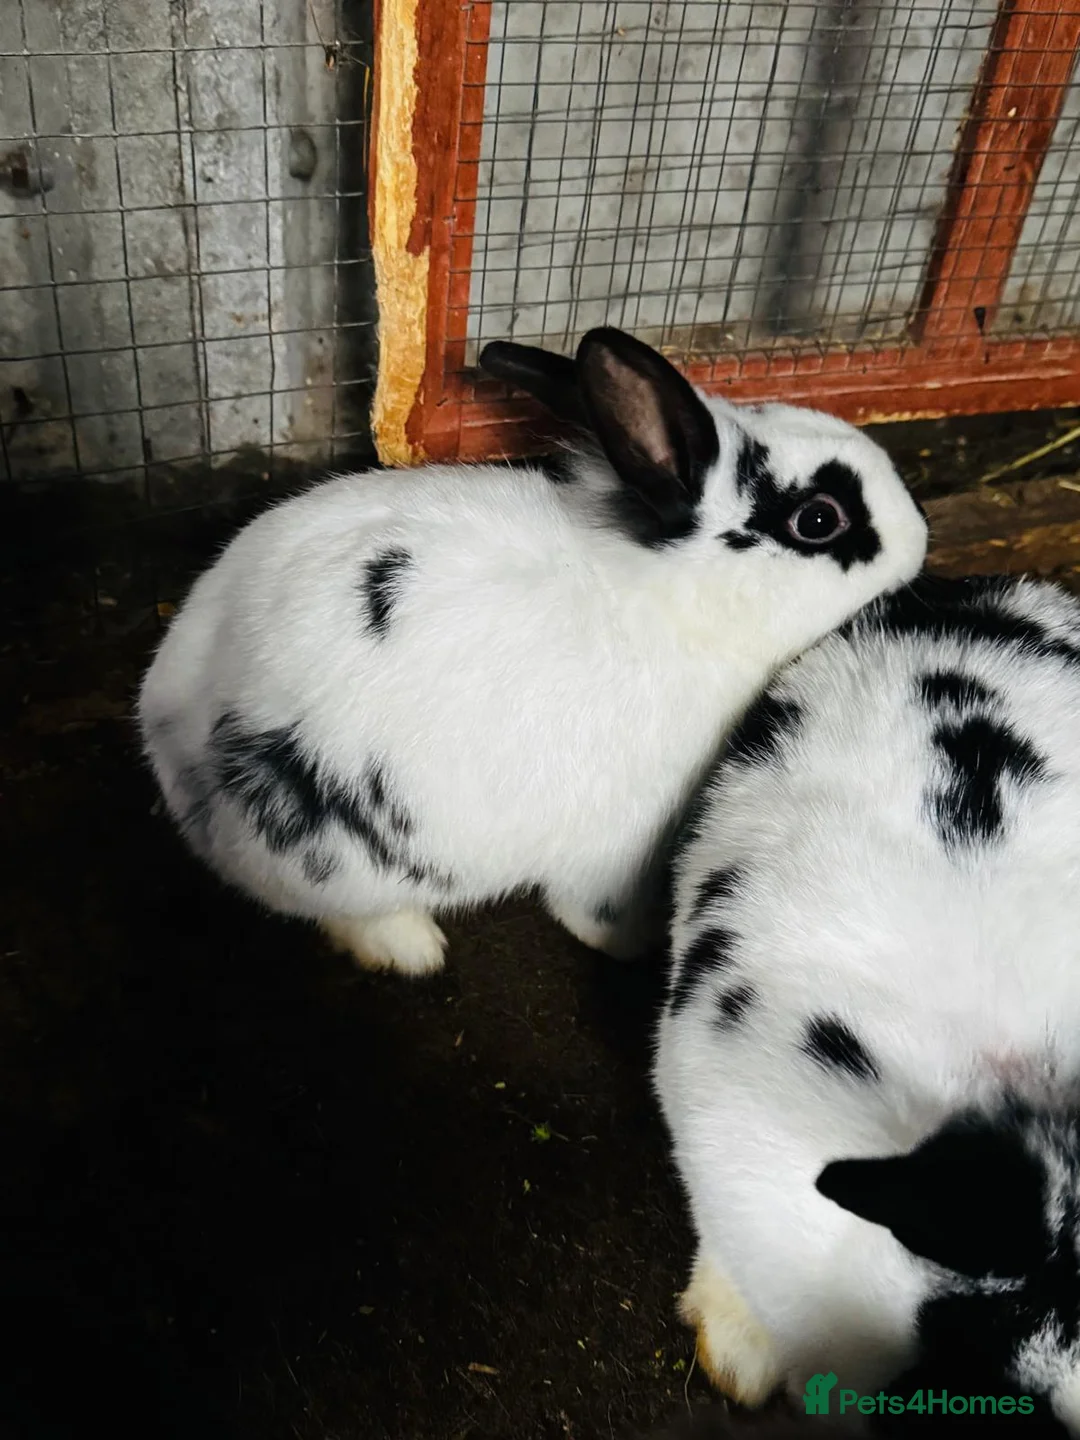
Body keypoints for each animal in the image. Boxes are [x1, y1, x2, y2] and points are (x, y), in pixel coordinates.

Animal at [136, 326, 926, 977]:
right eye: (819, 520)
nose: (920, 538)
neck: (673, 597)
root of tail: (171, 745)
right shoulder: (623, 839)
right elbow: (593, 909)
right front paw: (632, 945)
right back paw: (413, 949)